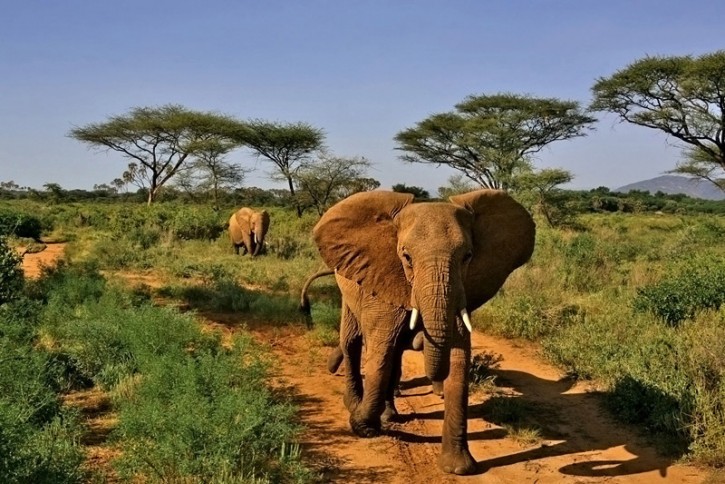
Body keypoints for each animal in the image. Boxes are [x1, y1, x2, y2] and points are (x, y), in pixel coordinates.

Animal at [308, 187, 536, 474]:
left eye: (468, 256)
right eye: (406, 257)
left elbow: (459, 359)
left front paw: (459, 467)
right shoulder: (381, 278)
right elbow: (380, 352)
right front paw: (363, 426)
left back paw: (389, 413)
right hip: (348, 285)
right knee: (352, 341)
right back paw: (354, 403)